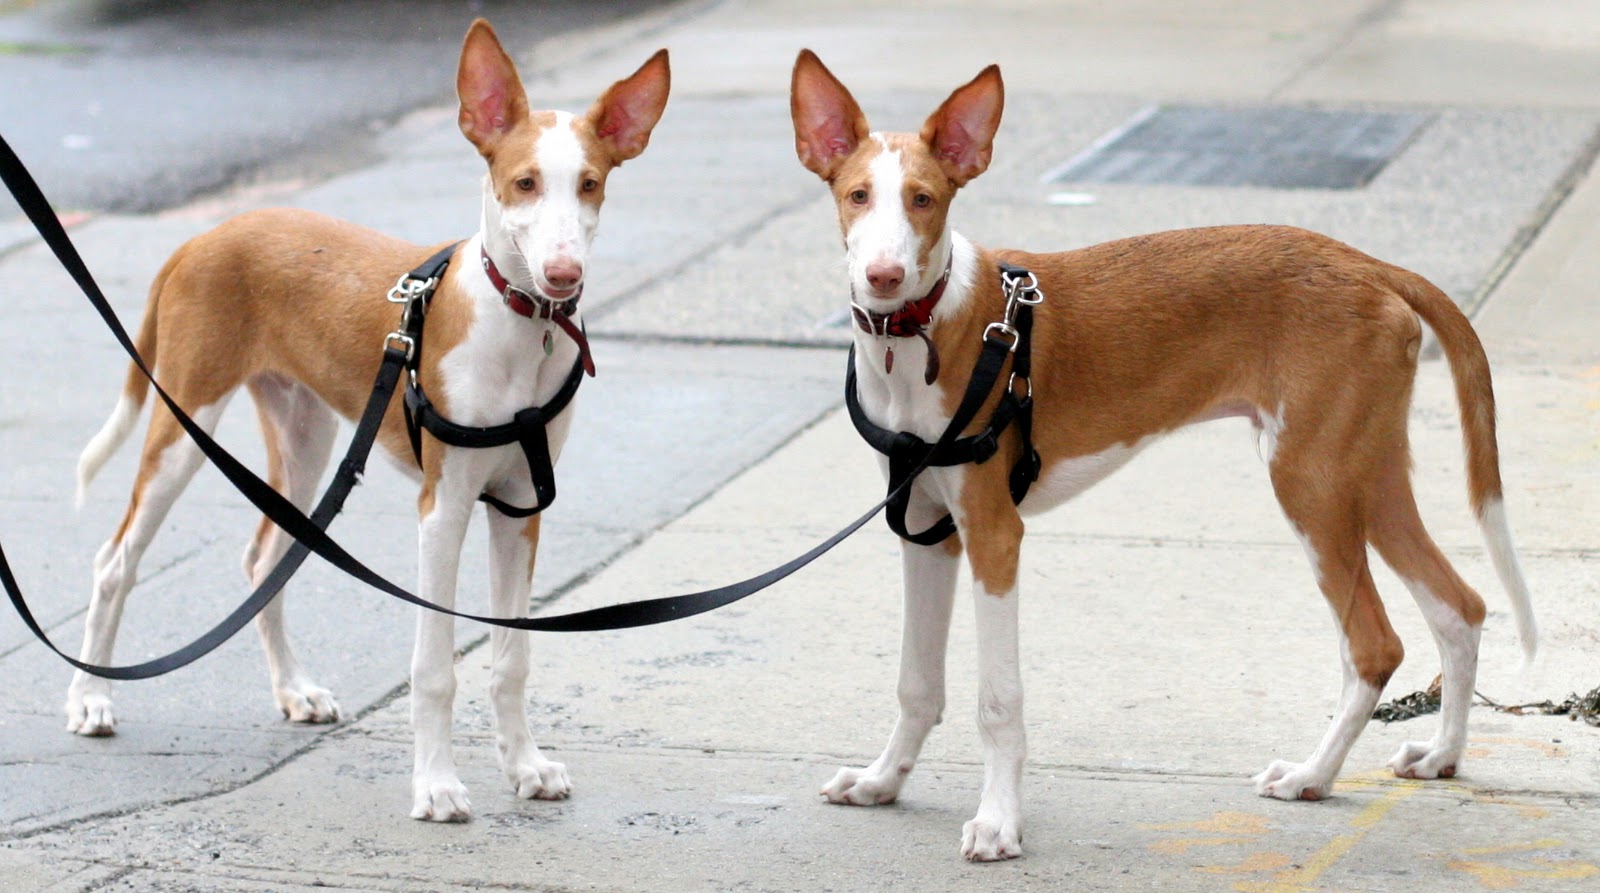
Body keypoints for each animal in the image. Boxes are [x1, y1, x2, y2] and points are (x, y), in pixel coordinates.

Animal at [67, 19, 668, 825]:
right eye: (525, 184)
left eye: (590, 185)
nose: (563, 275)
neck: (516, 327)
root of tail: (206, 234)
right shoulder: (443, 508)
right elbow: (436, 666)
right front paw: (437, 785)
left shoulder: (519, 505)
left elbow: (511, 657)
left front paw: (525, 766)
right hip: (184, 421)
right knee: (115, 561)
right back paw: (91, 698)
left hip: (306, 435)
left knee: (265, 559)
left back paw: (294, 690)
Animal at [787, 52, 1536, 864]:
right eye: (858, 196)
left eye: (923, 200)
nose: (884, 277)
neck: (923, 334)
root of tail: (1368, 264)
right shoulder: (928, 531)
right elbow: (916, 682)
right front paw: (882, 781)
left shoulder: (993, 534)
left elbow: (997, 699)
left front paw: (999, 821)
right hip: (1365, 475)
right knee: (1459, 606)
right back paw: (1442, 754)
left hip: (1312, 481)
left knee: (1374, 644)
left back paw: (1312, 775)